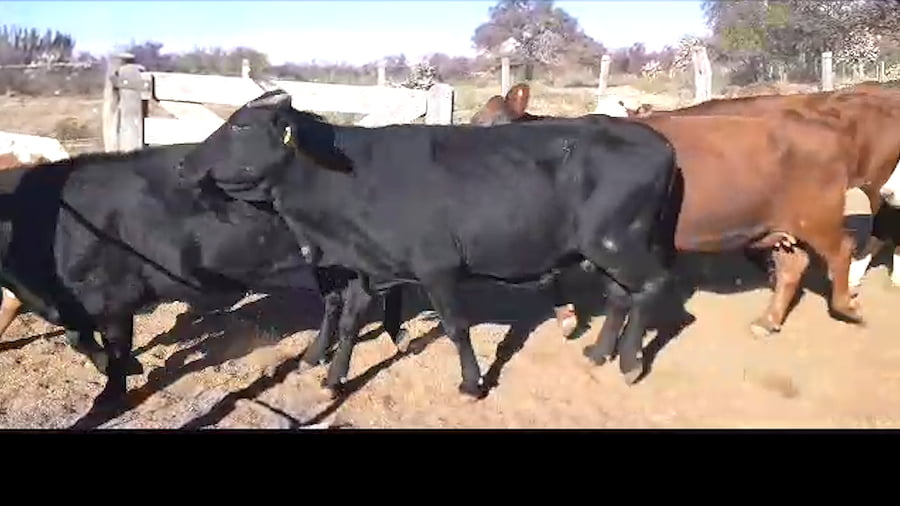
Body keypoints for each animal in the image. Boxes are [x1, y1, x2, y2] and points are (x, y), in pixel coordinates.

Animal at [0, 141, 409, 409]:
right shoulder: (72, 301)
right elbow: (78, 338)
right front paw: (128, 367)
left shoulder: (114, 297)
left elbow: (113, 347)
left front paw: (111, 395)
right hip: (323, 264)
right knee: (334, 303)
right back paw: (314, 356)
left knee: (355, 311)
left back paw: (333, 380)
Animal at [175, 89, 684, 398]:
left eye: (241, 126)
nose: (183, 163)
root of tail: (660, 143)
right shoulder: (367, 268)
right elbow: (349, 323)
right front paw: (334, 378)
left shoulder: (437, 267)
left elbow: (456, 326)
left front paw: (473, 383)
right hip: (604, 250)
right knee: (621, 296)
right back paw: (599, 353)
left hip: (617, 242)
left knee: (653, 287)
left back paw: (629, 362)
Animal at [466, 84, 869, 343]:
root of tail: (821, 125)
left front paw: (567, 319)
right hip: (781, 228)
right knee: (793, 266)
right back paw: (767, 322)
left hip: (817, 217)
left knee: (841, 250)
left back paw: (847, 306)